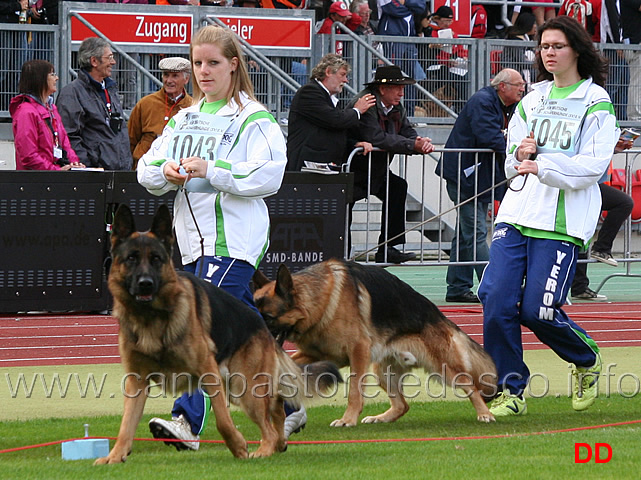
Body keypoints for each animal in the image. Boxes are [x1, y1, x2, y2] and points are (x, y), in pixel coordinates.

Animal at [96, 206, 340, 464]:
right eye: (131, 258)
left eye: (156, 259)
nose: (146, 283)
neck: (150, 318)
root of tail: (262, 325)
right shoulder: (137, 381)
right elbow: (126, 425)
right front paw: (115, 456)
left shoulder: (207, 371)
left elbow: (223, 420)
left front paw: (239, 446)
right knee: (276, 409)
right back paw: (280, 441)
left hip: (243, 387)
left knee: (268, 422)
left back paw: (265, 448)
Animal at [252, 260, 498, 426]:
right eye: (255, 312)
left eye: (269, 317)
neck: (318, 301)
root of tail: (440, 315)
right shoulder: (319, 355)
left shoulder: (358, 351)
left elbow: (354, 391)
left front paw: (348, 419)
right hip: (382, 371)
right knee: (402, 405)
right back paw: (381, 418)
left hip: (443, 368)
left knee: (470, 385)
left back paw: (485, 414)